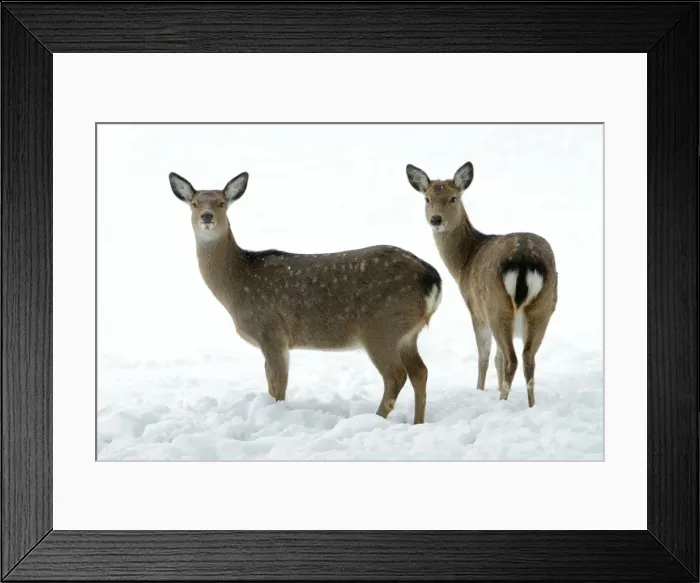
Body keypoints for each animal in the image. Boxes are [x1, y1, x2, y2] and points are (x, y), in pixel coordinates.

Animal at [168, 170, 442, 424]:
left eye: (221, 203)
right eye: (194, 203)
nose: (206, 216)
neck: (237, 285)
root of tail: (433, 279)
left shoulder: (271, 331)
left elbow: (278, 387)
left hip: (381, 326)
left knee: (396, 375)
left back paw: (374, 419)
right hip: (407, 333)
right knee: (420, 371)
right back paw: (418, 422)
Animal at [405, 161, 557, 408]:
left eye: (453, 198)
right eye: (427, 199)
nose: (436, 220)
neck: (464, 264)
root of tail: (524, 259)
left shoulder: (475, 310)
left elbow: (484, 356)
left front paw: (479, 390)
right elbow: (496, 357)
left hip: (496, 306)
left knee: (512, 359)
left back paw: (502, 403)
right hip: (543, 308)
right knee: (528, 358)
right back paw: (530, 406)